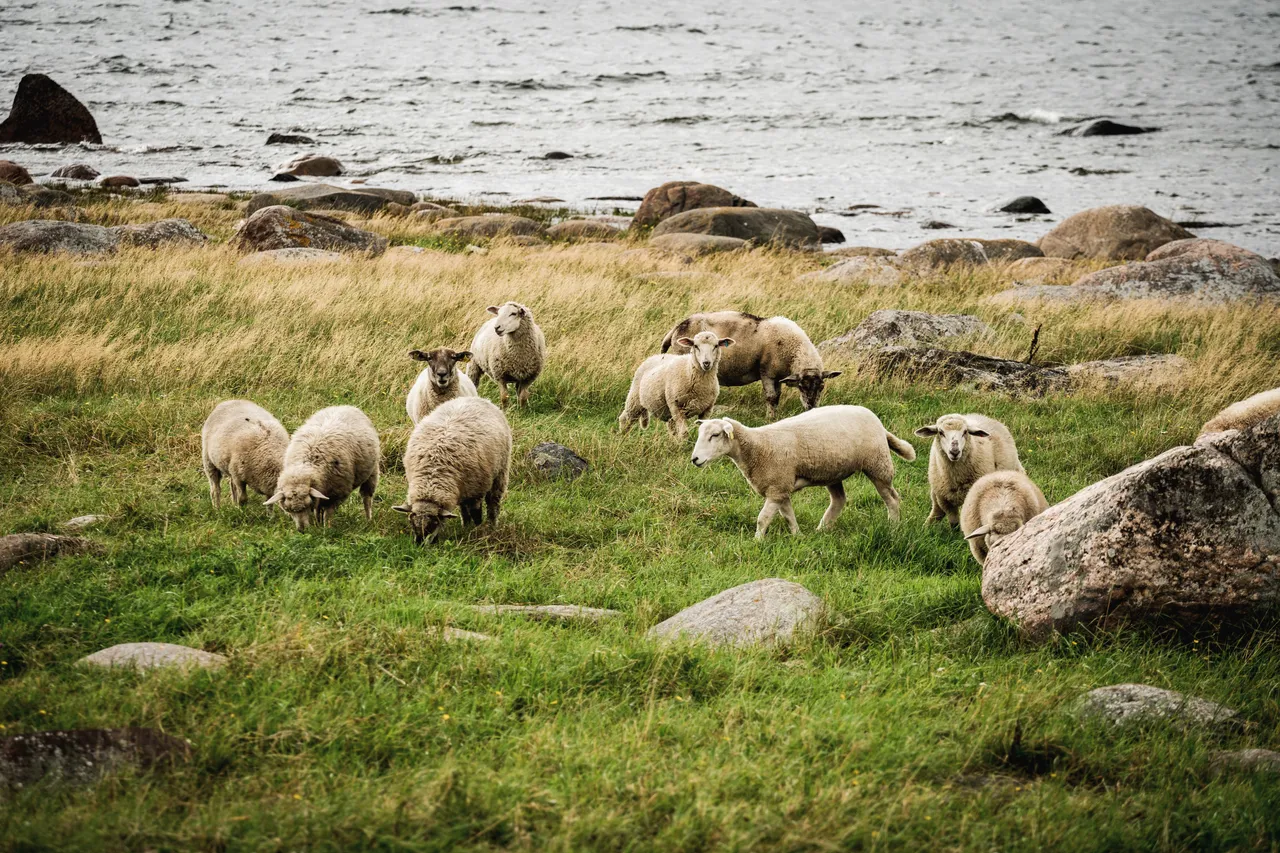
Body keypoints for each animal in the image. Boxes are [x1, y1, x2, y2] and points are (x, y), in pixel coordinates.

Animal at [394, 396, 511, 544]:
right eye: (411, 522)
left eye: (435, 523)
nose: (420, 544)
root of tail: (476, 398)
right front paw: (467, 527)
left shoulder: (476, 492)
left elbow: (477, 514)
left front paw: (477, 530)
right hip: (464, 488)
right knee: (464, 508)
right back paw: (465, 524)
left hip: (500, 473)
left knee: (493, 503)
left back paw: (491, 526)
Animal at [661, 311, 839, 419]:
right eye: (801, 386)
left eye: (822, 387)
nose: (812, 407)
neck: (793, 350)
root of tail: (677, 327)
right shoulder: (767, 372)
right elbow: (771, 397)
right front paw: (770, 418)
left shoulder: (778, 376)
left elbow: (777, 396)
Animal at [691, 405, 916, 538]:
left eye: (715, 435)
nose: (695, 459)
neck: (757, 446)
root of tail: (877, 421)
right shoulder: (781, 488)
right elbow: (788, 515)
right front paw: (797, 536)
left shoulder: (776, 488)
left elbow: (762, 518)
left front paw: (757, 542)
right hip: (833, 471)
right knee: (839, 500)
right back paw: (822, 529)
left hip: (878, 465)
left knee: (892, 498)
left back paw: (893, 527)